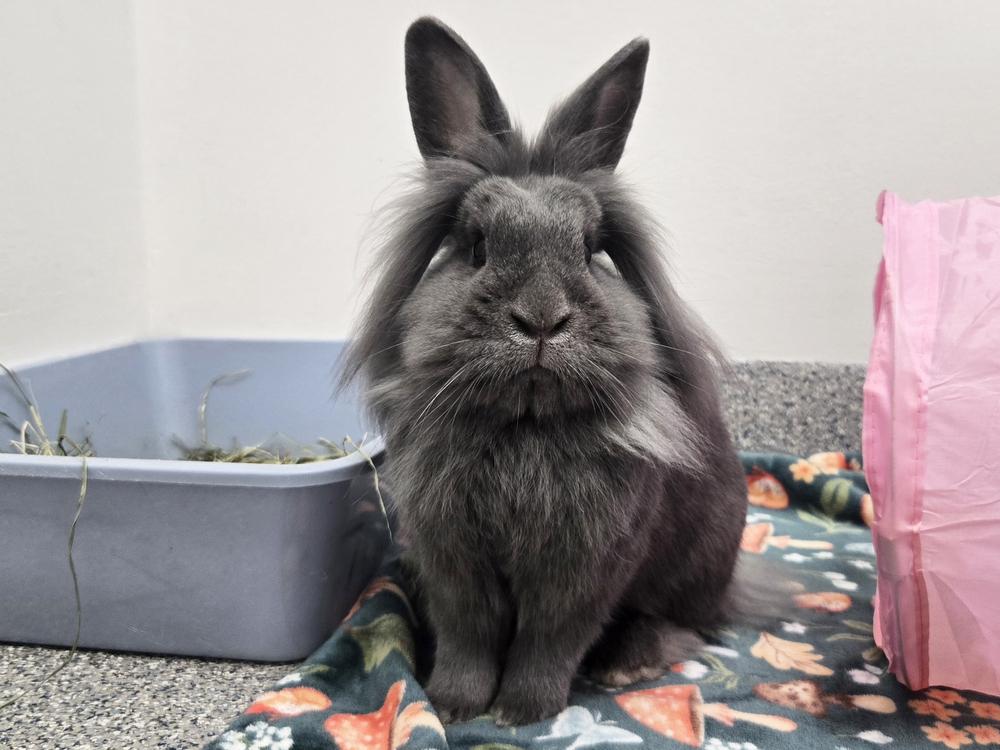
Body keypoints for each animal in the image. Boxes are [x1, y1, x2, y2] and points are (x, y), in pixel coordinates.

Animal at [340, 17, 748, 726]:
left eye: (590, 249)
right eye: (476, 246)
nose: (540, 319)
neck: (524, 425)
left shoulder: (582, 572)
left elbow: (548, 641)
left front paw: (521, 713)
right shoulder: (453, 562)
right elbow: (469, 635)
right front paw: (452, 706)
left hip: (699, 564)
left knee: (687, 624)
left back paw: (628, 663)